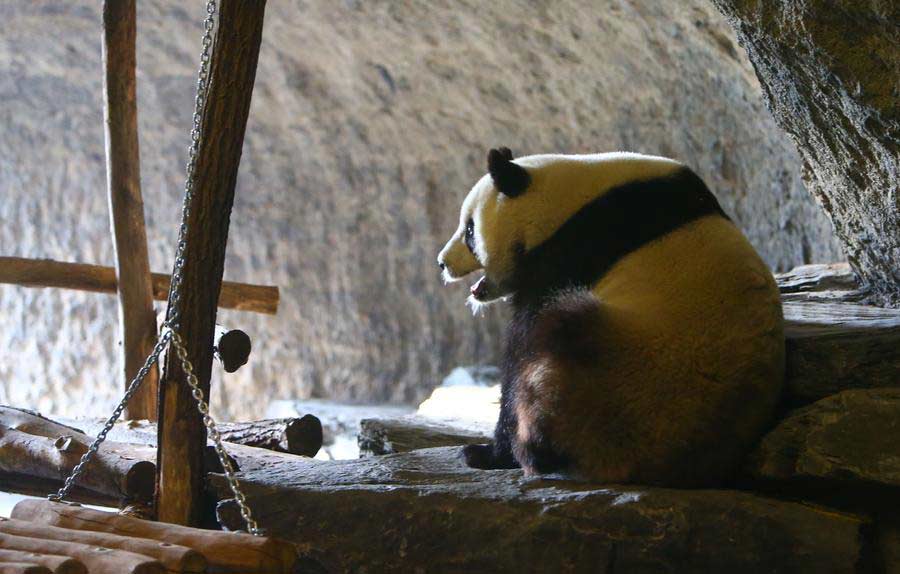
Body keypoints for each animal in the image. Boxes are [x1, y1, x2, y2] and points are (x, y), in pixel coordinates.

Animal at [436, 150, 780, 490]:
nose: (441, 263)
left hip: (616, 383)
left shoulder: (574, 252)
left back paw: (530, 448)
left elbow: (520, 348)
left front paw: (486, 452)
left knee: (550, 341)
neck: (568, 201)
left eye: (469, 231)